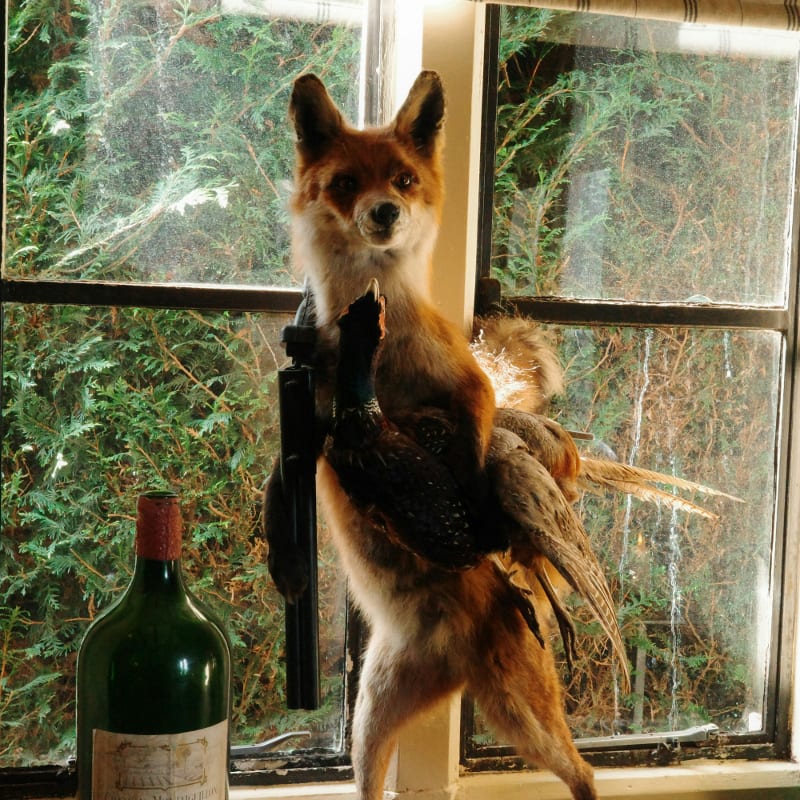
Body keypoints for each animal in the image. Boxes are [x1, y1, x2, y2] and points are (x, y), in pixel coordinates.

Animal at [264, 71, 599, 800]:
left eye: (403, 179)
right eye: (345, 183)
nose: (384, 213)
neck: (380, 365)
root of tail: (453, 671)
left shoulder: (467, 388)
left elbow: (471, 458)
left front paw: (477, 522)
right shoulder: (310, 427)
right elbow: (281, 483)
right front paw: (287, 566)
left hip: (527, 718)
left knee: (585, 773)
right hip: (369, 724)